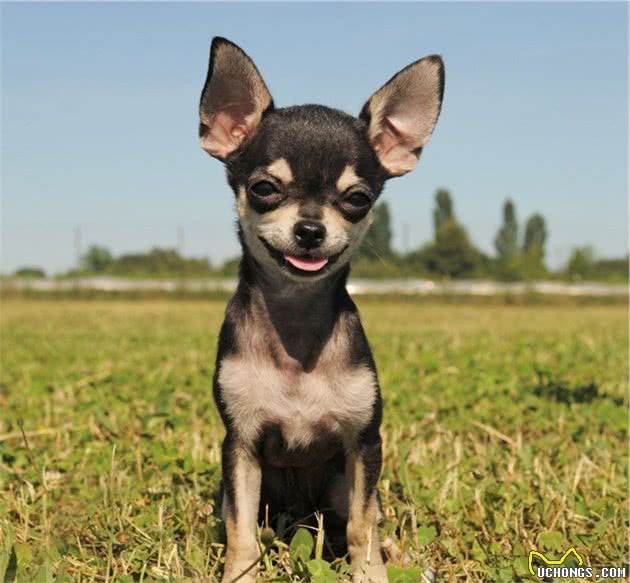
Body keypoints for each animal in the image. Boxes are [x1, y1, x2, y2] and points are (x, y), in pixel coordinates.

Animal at [200, 38, 446, 580]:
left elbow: (361, 525)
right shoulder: (240, 446)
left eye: (357, 198)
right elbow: (241, 534)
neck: (296, 323)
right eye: (264, 189)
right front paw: (239, 575)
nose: (310, 230)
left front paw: (370, 572)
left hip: (338, 484)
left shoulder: (364, 444)